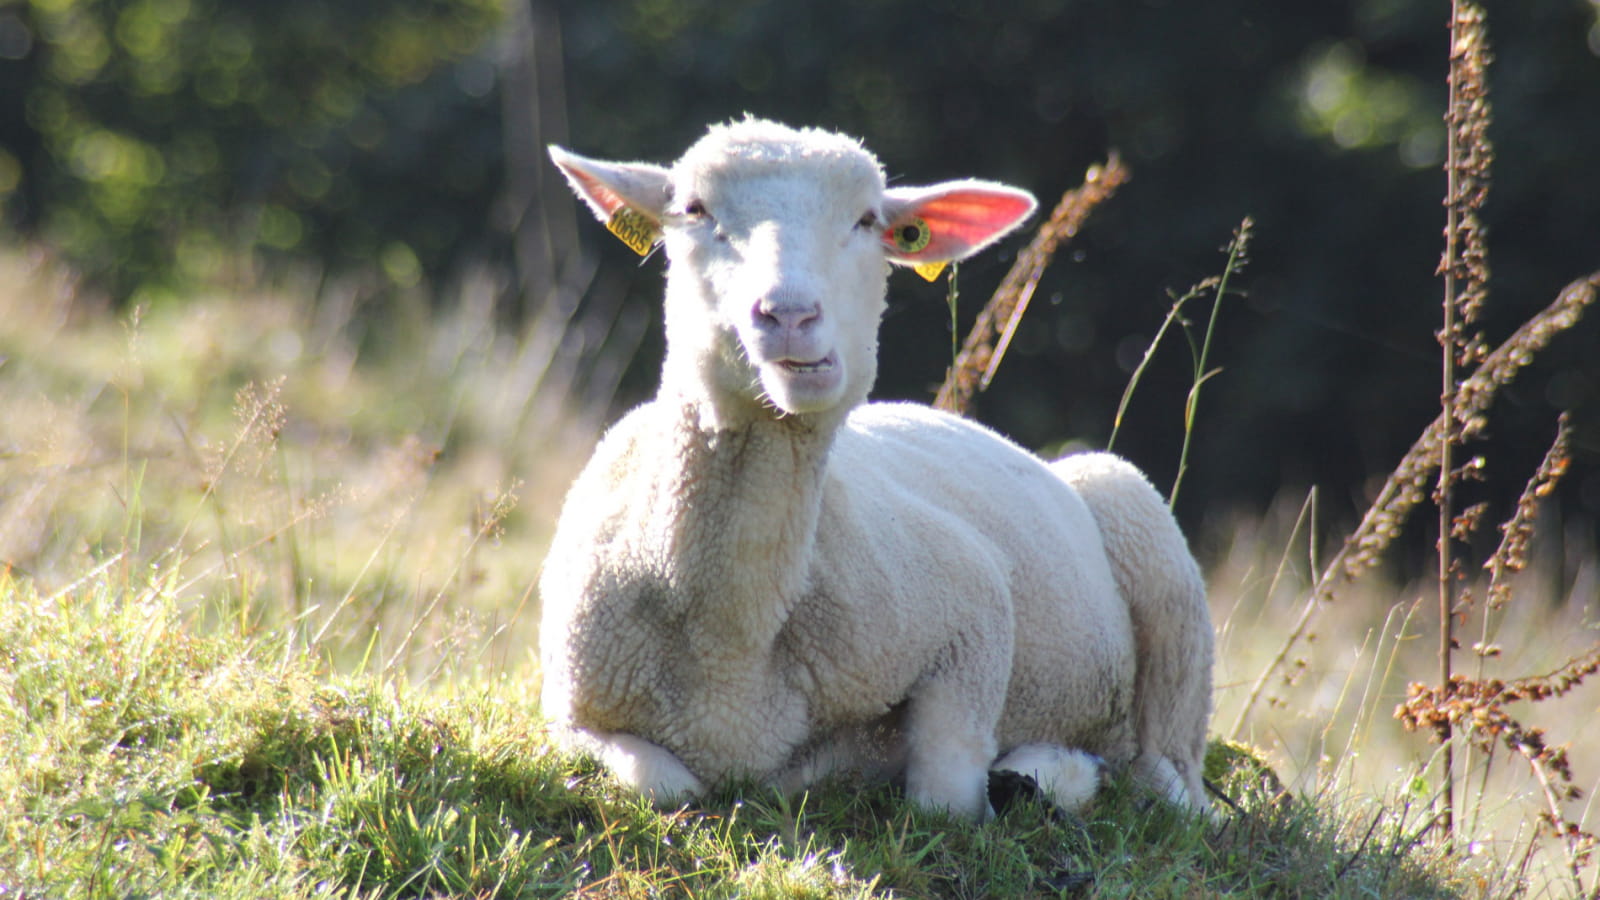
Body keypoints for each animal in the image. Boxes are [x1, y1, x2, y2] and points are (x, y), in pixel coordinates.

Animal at [538, 117, 1213, 821]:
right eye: (696, 211)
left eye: (867, 221)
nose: (790, 315)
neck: (731, 635)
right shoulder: (567, 709)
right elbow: (662, 783)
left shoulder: (971, 605)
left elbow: (944, 798)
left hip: (1154, 556)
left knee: (1165, 778)